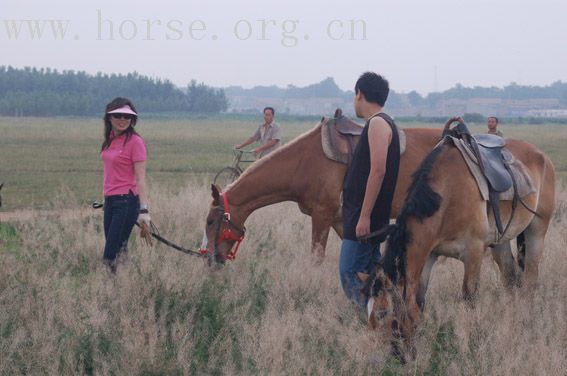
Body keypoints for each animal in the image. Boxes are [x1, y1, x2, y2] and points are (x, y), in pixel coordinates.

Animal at [204, 119, 444, 262]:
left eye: (210, 221)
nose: (209, 258)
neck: (305, 161)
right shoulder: (340, 220)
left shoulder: (322, 216)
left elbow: (316, 259)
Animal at [366, 137, 556, 356]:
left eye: (382, 312)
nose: (395, 354)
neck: (448, 192)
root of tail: (543, 157)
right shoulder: (429, 255)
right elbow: (419, 300)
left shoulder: (473, 252)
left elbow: (469, 297)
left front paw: (471, 341)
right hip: (500, 243)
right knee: (511, 278)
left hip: (536, 232)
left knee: (530, 280)